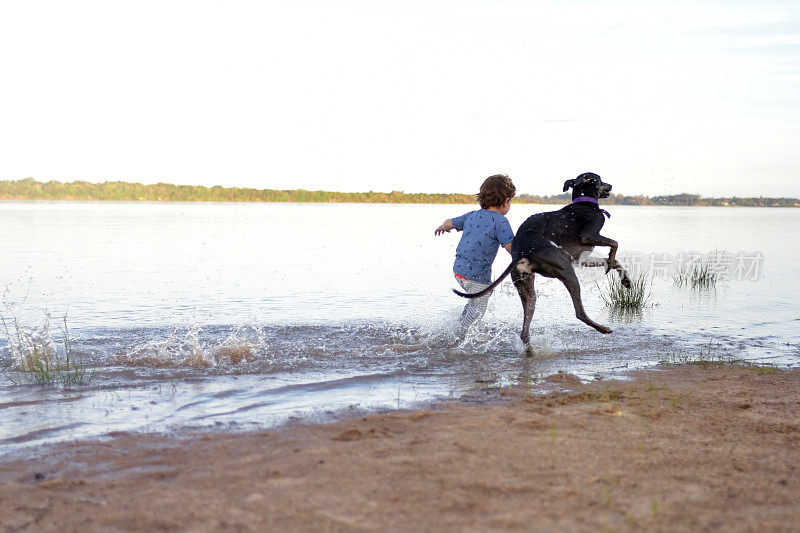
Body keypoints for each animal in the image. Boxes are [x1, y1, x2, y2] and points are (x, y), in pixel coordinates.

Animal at [454, 171, 628, 350]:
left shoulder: (579, 259)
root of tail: (521, 253)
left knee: (524, 331)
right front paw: (611, 260)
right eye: (600, 180)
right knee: (579, 313)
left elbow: (614, 260)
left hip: (527, 290)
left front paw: (624, 279)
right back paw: (603, 329)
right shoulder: (589, 235)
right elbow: (615, 243)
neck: (584, 202)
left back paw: (530, 349)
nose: (611, 186)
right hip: (566, 271)